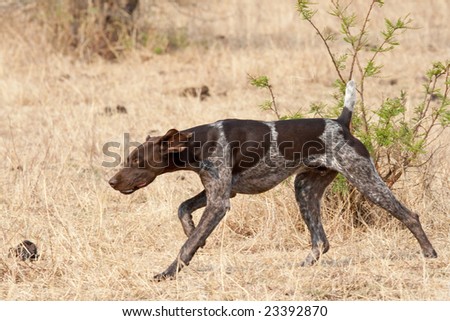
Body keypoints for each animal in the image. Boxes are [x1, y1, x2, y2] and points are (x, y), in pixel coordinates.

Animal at [108, 81, 436, 278]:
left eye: (136, 162)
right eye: (126, 159)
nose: (112, 182)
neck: (198, 142)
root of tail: (340, 123)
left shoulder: (219, 202)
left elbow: (187, 245)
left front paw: (168, 272)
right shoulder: (221, 192)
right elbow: (183, 210)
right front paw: (190, 230)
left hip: (367, 182)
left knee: (410, 215)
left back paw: (430, 254)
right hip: (304, 189)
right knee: (321, 241)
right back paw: (304, 266)